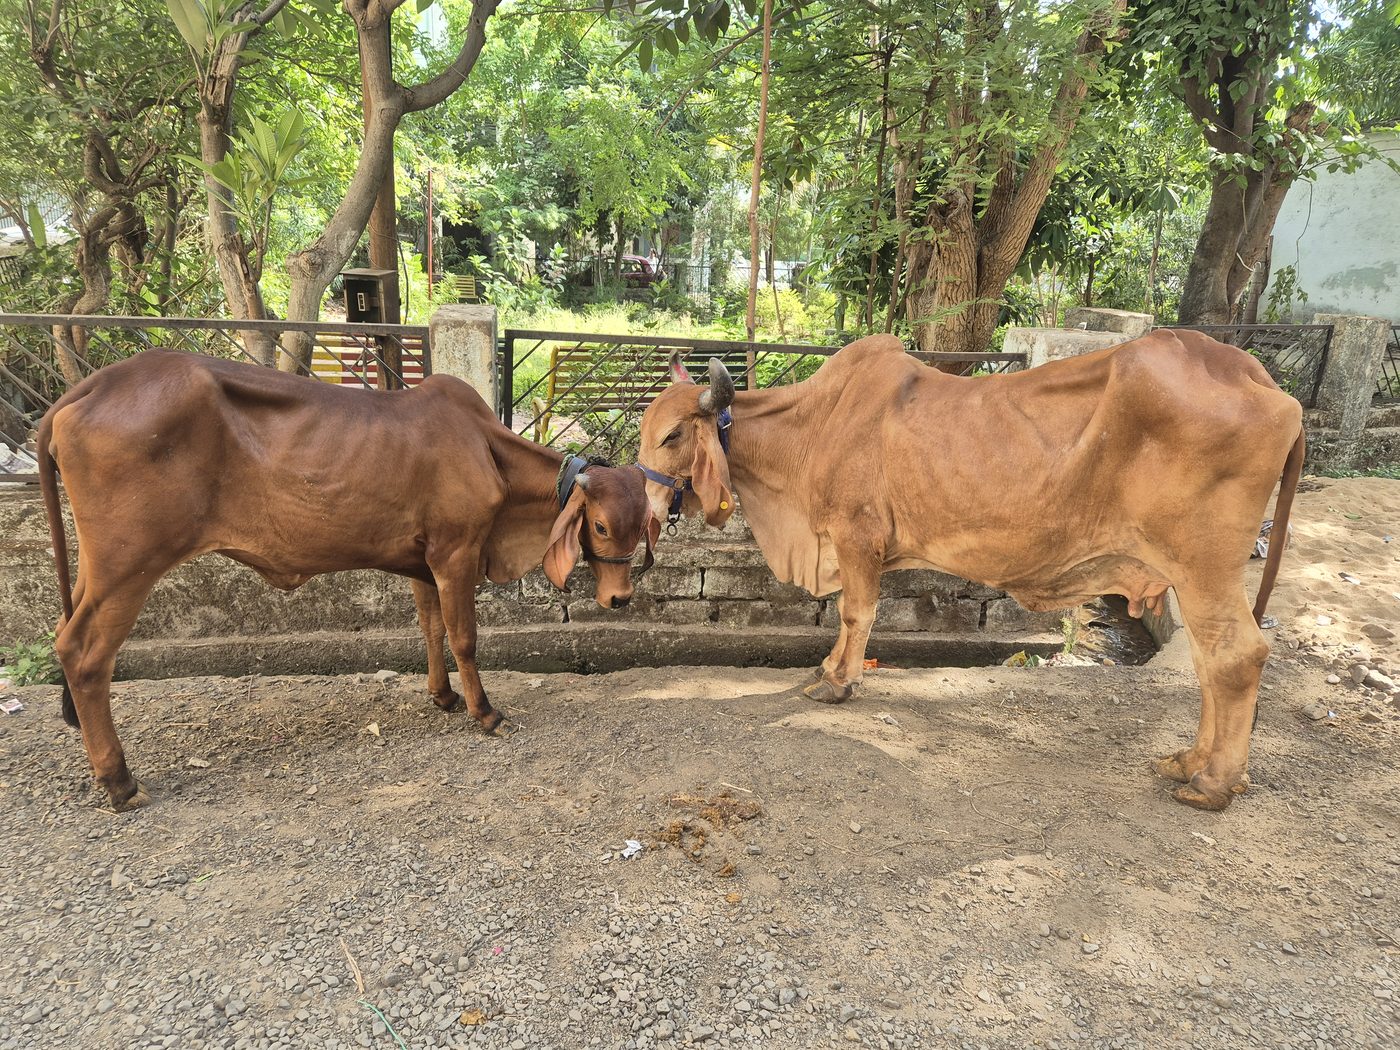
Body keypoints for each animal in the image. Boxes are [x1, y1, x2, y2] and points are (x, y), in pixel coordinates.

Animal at [37, 349, 658, 811]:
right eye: (601, 525)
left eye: (642, 523)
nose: (620, 597)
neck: (491, 456)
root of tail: (88, 388)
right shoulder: (456, 553)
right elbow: (463, 637)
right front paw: (484, 712)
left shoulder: (423, 561)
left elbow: (431, 630)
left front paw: (443, 696)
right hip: (130, 564)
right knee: (83, 654)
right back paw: (120, 781)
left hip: (99, 567)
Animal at [635, 331, 1306, 812]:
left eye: (672, 436)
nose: (647, 510)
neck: (813, 426)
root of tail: (1266, 384)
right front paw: (827, 669)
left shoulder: (857, 538)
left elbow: (856, 614)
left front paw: (837, 682)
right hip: (1192, 577)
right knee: (1209, 662)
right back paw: (1191, 761)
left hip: (1203, 567)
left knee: (1236, 656)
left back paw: (1213, 783)